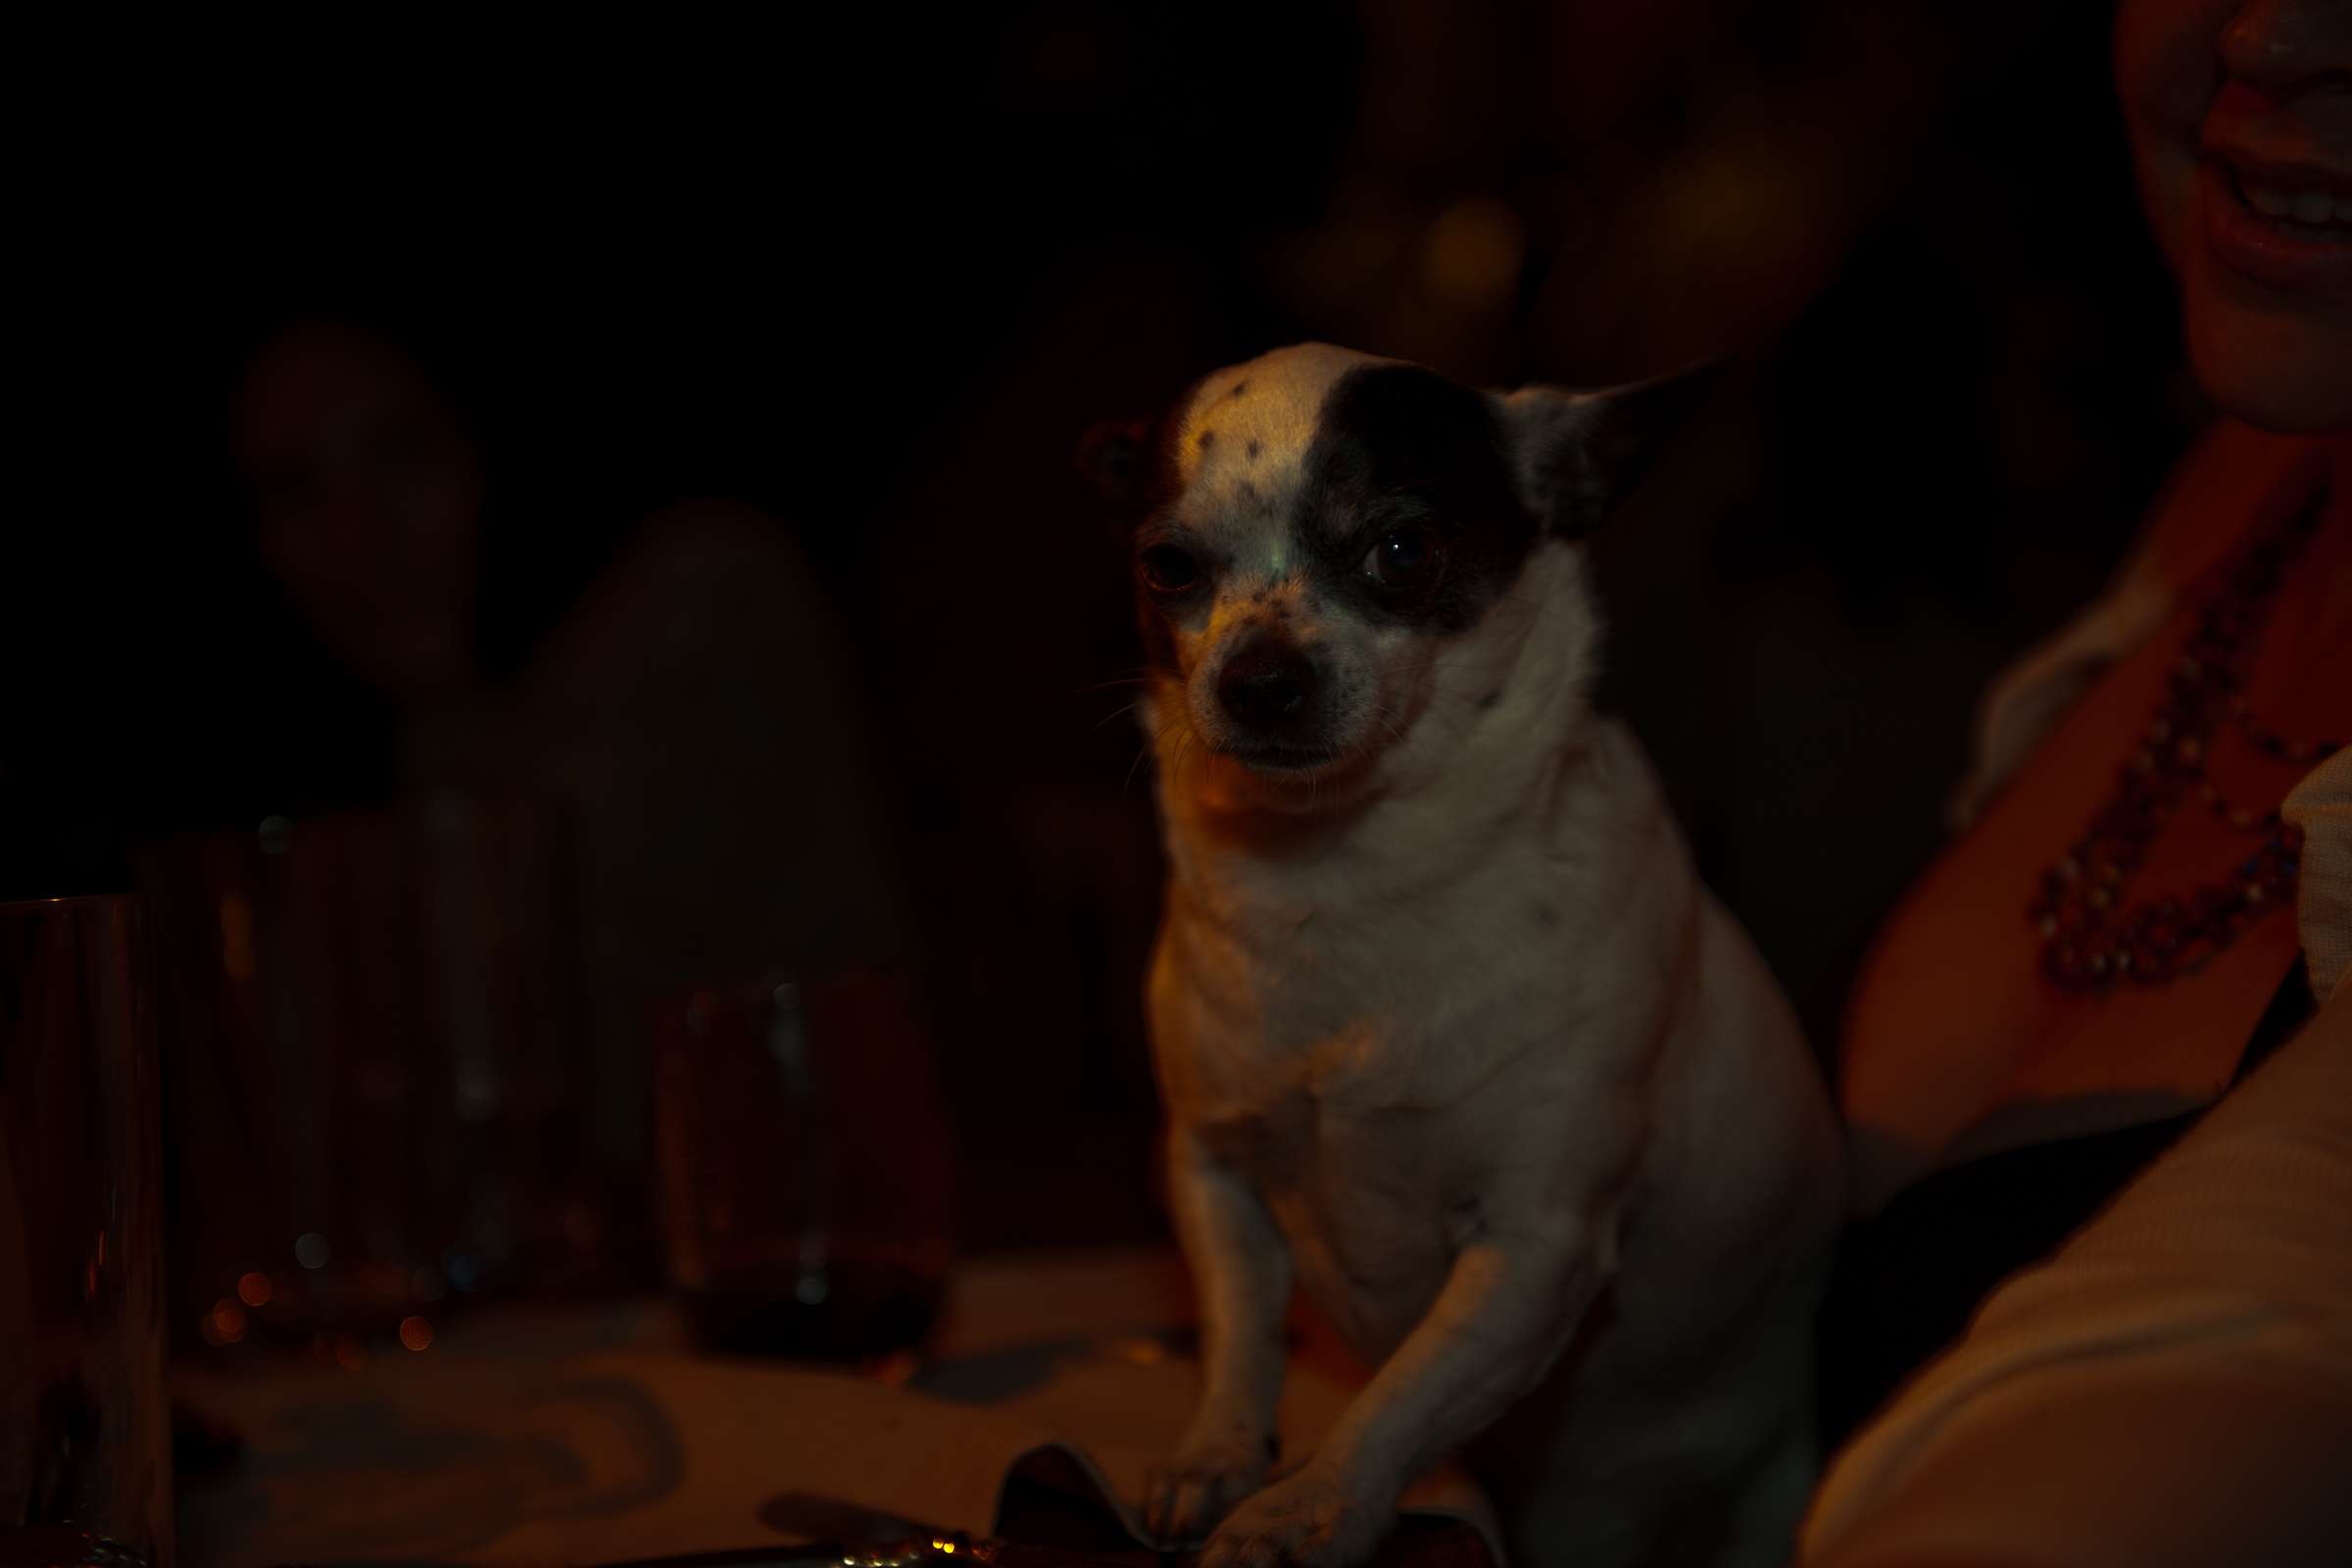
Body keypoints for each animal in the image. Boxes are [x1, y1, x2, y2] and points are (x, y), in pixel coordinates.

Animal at [1091, 343, 1843, 1568]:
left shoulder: (1535, 1252)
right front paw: (1217, 1455)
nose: (1260, 677)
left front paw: (1304, 1505)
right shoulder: (1212, 1172)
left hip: (1759, 1493)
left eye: (1403, 549)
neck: (1343, 873)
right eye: (1168, 567)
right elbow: (1241, 1334)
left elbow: (1404, 1396)